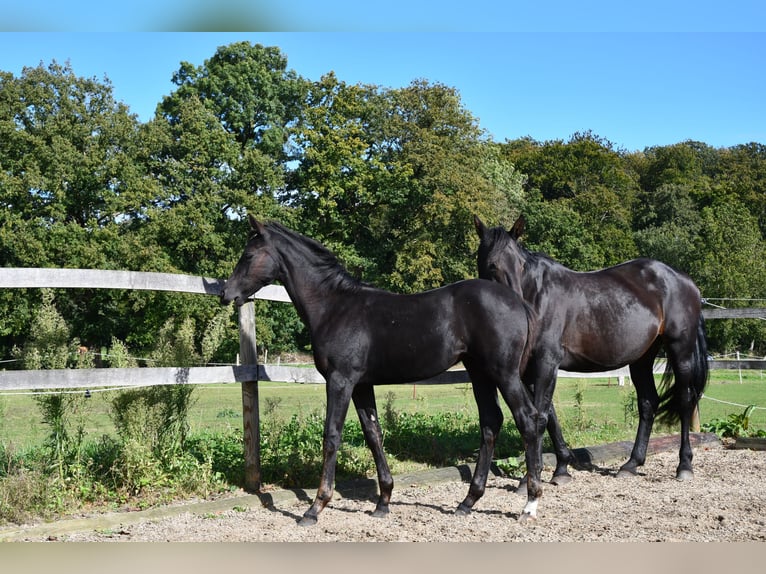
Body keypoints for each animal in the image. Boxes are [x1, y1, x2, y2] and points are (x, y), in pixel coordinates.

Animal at [220, 216, 544, 528]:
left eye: (249, 255)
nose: (226, 294)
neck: (334, 307)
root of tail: (518, 302)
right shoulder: (362, 385)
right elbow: (373, 434)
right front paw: (383, 502)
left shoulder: (340, 381)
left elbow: (331, 435)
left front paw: (315, 508)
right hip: (480, 374)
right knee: (491, 422)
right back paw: (467, 502)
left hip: (504, 374)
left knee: (528, 419)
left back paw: (530, 503)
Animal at [476, 216, 712, 486]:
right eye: (490, 265)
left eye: (520, 264)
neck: (538, 298)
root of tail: (684, 280)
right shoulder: (528, 372)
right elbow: (547, 416)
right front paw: (561, 468)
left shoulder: (546, 362)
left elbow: (541, 415)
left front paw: (531, 479)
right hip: (642, 358)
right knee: (648, 402)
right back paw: (631, 464)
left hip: (680, 349)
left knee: (685, 400)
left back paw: (684, 465)